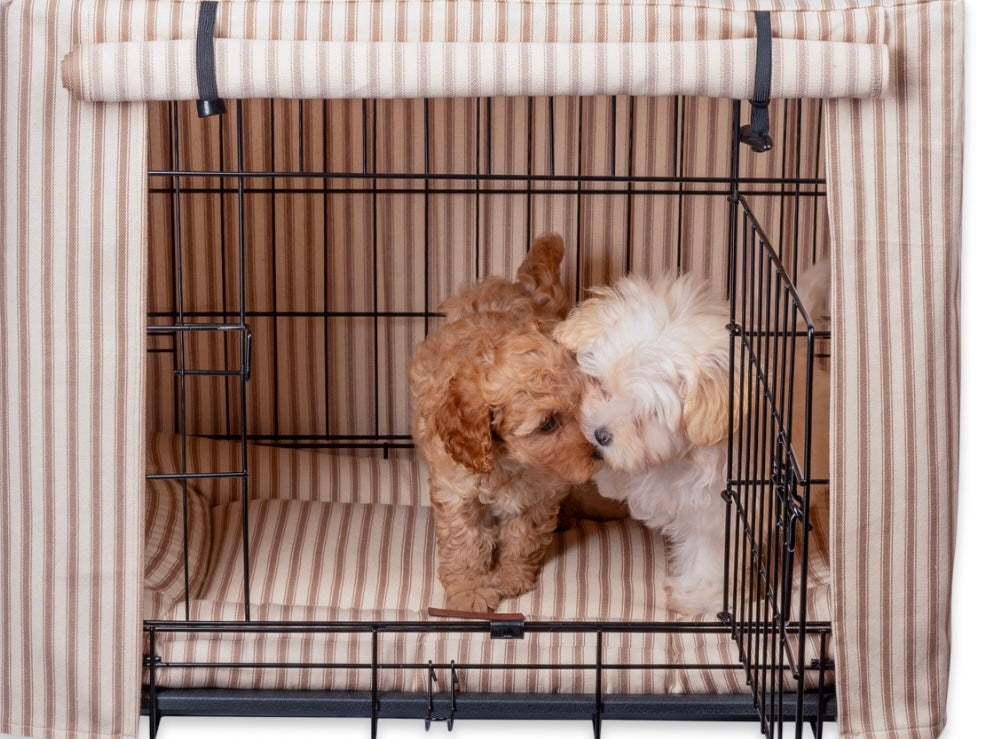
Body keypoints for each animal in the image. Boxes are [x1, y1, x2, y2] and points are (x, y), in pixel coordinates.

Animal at [410, 233, 600, 612]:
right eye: (547, 424)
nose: (599, 452)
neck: (509, 461)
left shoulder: (541, 491)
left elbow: (523, 535)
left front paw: (511, 577)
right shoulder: (456, 490)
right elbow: (465, 542)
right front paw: (470, 589)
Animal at [552, 274, 732, 616]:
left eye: (647, 415)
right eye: (601, 385)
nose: (600, 435)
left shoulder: (716, 505)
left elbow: (711, 549)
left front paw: (695, 596)